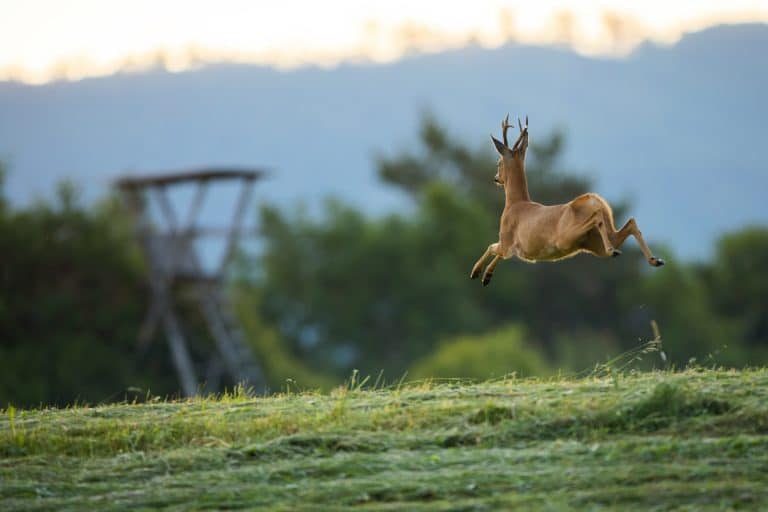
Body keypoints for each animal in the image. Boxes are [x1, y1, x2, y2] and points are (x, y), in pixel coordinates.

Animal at [470, 115, 664, 286]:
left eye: (499, 163)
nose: (496, 178)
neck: (515, 203)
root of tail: (596, 201)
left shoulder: (507, 239)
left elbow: (491, 246)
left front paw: (477, 272)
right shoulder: (513, 248)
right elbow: (495, 251)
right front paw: (486, 276)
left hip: (566, 238)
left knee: (597, 218)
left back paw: (617, 250)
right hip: (594, 243)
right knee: (630, 223)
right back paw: (654, 259)